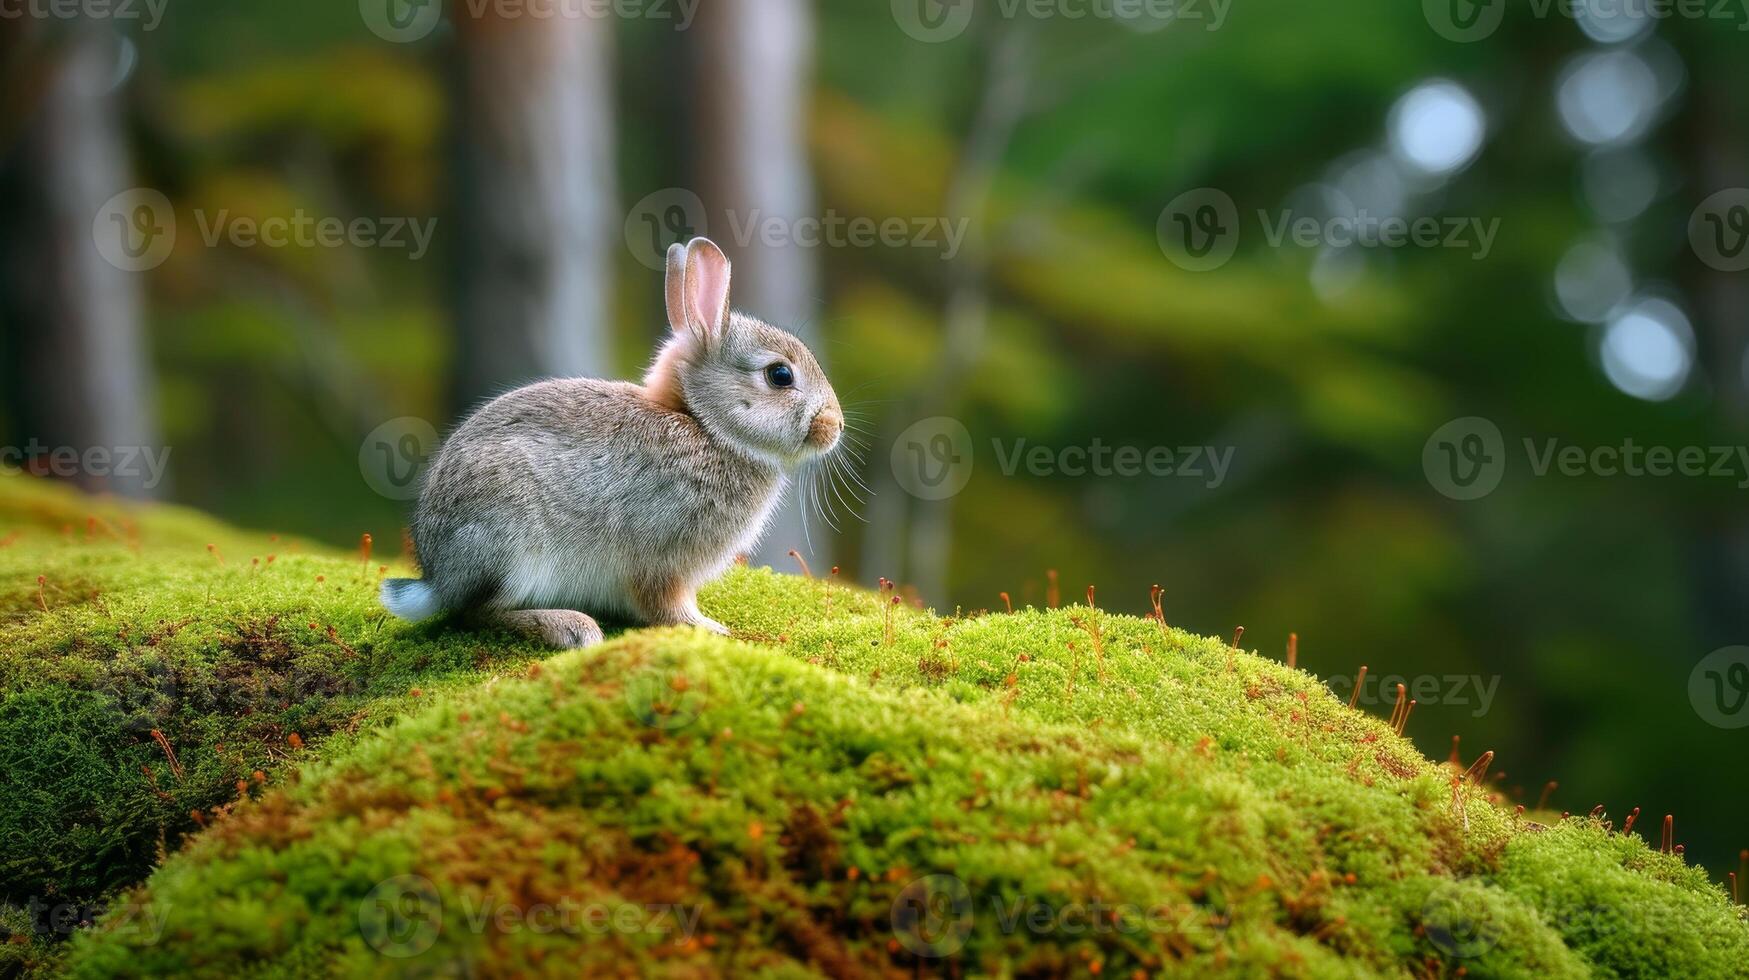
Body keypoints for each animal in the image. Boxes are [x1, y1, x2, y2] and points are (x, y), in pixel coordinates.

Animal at [383, 236, 846, 651]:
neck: (705, 426)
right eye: (780, 375)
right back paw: (570, 627)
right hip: (512, 543)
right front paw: (709, 628)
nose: (835, 426)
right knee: (478, 612)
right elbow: (666, 604)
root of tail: (436, 578)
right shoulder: (662, 560)